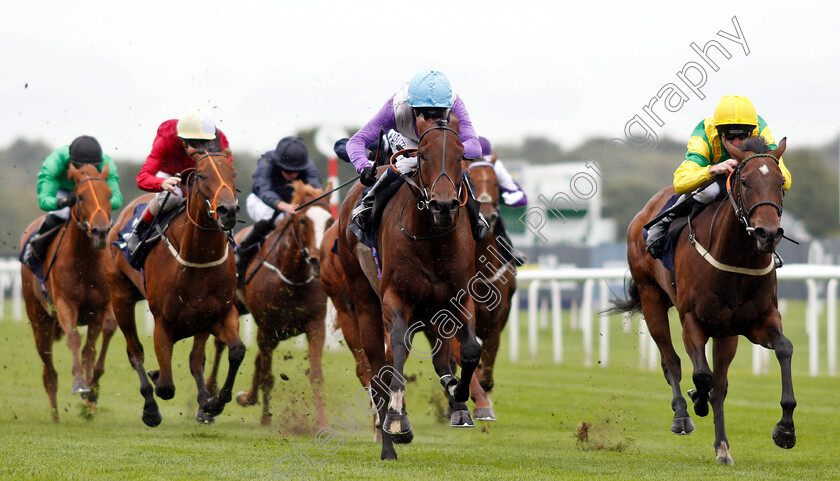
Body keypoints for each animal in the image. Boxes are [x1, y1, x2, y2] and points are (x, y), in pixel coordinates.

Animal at [19, 163, 117, 418]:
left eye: (109, 194)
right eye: (80, 196)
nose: (100, 231)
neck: (85, 261)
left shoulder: (101, 307)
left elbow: (97, 342)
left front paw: (92, 390)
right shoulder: (65, 303)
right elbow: (73, 337)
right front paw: (80, 383)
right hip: (39, 319)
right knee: (48, 371)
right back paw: (55, 415)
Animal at [104, 150, 243, 424]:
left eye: (233, 174)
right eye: (202, 175)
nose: (228, 210)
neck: (198, 258)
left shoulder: (219, 314)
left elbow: (234, 352)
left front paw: (213, 403)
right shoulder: (163, 323)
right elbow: (166, 386)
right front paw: (158, 380)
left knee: (195, 359)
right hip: (120, 296)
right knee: (135, 352)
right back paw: (150, 407)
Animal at [205, 182, 334, 426]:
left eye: (330, 221)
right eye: (303, 220)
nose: (316, 260)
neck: (292, 277)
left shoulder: (315, 325)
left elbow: (316, 375)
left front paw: (323, 422)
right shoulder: (266, 327)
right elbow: (267, 374)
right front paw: (266, 418)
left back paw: (247, 397)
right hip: (233, 308)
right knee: (220, 345)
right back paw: (212, 389)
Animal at [334, 114, 480, 460]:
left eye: (460, 156)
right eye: (423, 155)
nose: (444, 206)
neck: (433, 240)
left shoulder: (459, 297)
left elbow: (469, 350)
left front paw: (459, 396)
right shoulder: (395, 299)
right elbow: (395, 356)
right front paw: (396, 419)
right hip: (364, 303)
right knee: (377, 373)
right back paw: (388, 444)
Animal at [612, 137, 796, 464]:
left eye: (780, 183)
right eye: (745, 181)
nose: (768, 233)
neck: (734, 260)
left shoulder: (756, 320)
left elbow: (783, 349)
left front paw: (785, 429)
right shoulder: (691, 320)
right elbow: (700, 373)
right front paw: (696, 399)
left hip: (726, 332)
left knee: (719, 383)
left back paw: (722, 446)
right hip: (651, 297)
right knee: (671, 361)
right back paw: (683, 415)